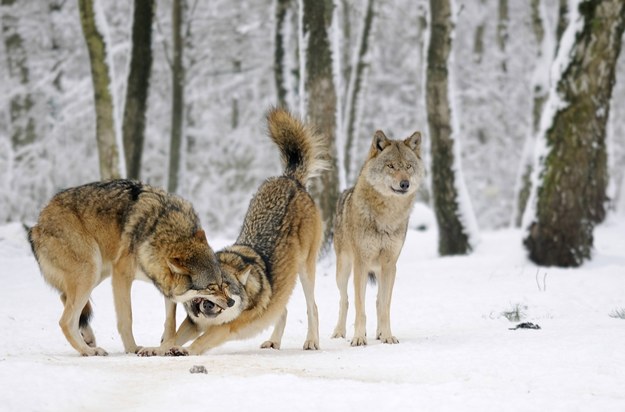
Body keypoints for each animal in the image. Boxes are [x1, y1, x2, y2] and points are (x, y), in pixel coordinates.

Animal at [28, 180, 229, 358]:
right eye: (211, 287)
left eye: (222, 283)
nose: (231, 302)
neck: (163, 231)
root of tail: (36, 225)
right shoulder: (121, 274)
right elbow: (127, 318)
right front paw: (132, 349)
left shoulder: (164, 284)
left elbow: (170, 322)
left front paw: (165, 344)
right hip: (91, 270)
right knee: (66, 321)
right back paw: (89, 351)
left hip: (98, 272)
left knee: (66, 300)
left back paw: (88, 339)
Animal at [140, 108, 326, 356]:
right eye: (209, 290)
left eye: (226, 288)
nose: (218, 304)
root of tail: (289, 178)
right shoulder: (194, 322)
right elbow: (172, 338)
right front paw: (156, 349)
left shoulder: (225, 327)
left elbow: (200, 341)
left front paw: (185, 351)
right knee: (282, 311)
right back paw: (273, 342)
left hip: (306, 270)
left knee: (313, 307)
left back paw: (312, 341)